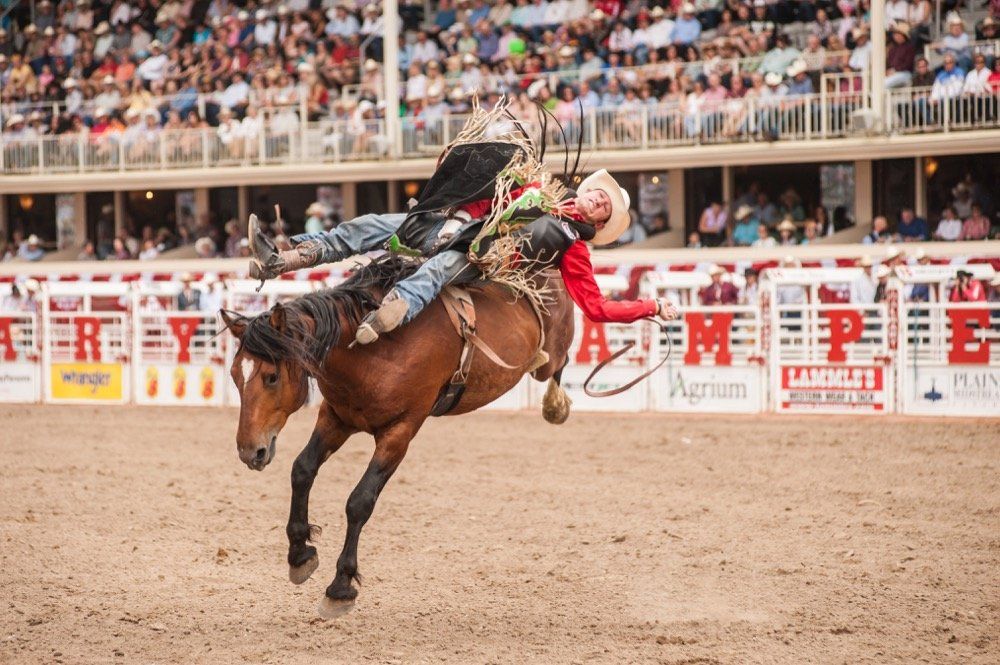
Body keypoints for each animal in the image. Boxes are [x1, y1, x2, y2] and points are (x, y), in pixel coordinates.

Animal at [222, 255, 576, 616]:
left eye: (272, 376)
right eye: (235, 375)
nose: (250, 451)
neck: (370, 349)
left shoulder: (400, 432)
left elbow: (359, 501)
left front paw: (340, 586)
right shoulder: (336, 417)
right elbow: (303, 470)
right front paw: (299, 554)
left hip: (548, 359)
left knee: (558, 363)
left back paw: (556, 405)